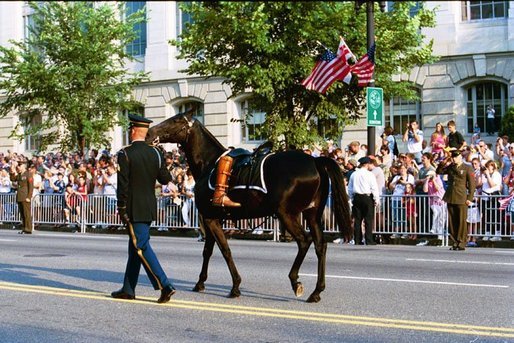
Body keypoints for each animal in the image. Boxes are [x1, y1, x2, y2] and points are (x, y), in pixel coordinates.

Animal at [146, 111, 350, 304]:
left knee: (304, 241)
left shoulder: (209, 218)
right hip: (312, 214)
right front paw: (200, 282)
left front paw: (235, 286)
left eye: (175, 121)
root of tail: (315, 161)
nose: (149, 133)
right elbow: (208, 251)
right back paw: (316, 291)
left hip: (287, 214)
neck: (209, 164)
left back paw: (295, 281)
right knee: (320, 245)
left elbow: (224, 250)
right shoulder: (212, 217)